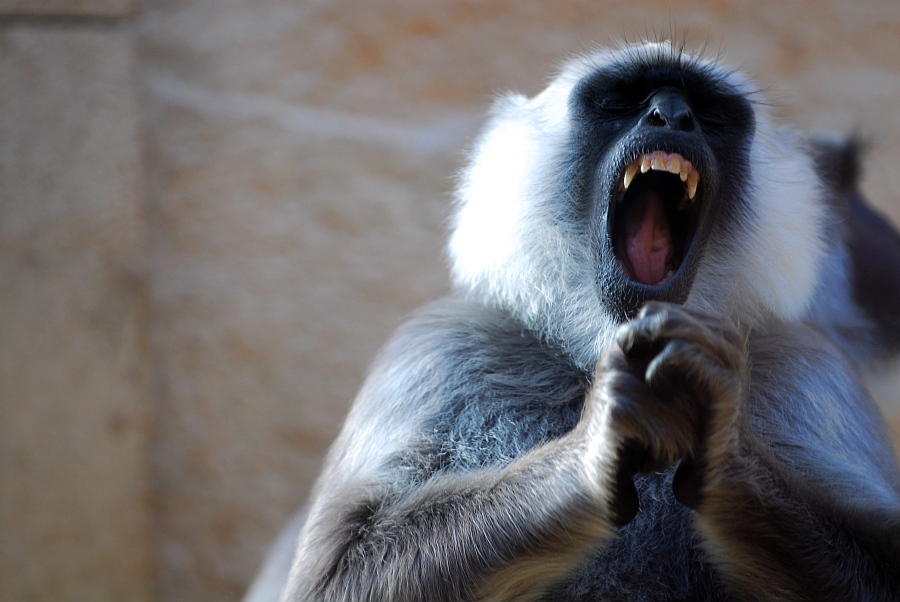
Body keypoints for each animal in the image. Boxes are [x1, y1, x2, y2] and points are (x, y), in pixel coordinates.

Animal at [272, 42, 900, 601]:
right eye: (621, 101)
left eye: (709, 113)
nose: (672, 116)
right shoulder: (442, 345)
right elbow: (339, 575)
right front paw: (599, 437)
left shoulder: (807, 366)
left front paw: (722, 437)